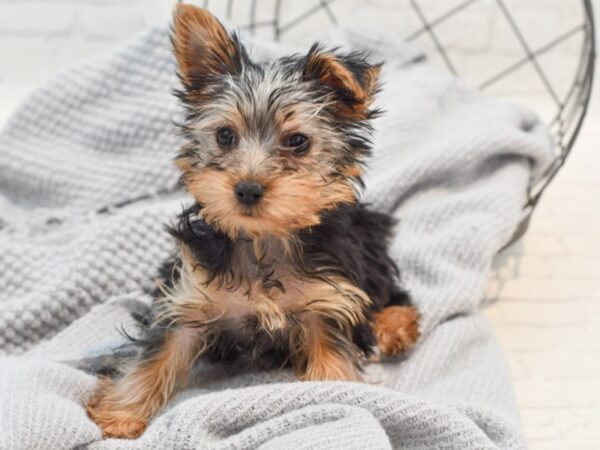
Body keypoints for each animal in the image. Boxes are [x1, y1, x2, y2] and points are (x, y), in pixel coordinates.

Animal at [86, 3, 420, 440]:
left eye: (298, 142)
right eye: (225, 135)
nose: (246, 189)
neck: (263, 241)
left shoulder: (328, 302)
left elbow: (334, 358)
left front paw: (338, 392)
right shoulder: (189, 297)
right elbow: (159, 350)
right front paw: (121, 412)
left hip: (369, 244)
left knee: (391, 290)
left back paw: (395, 325)